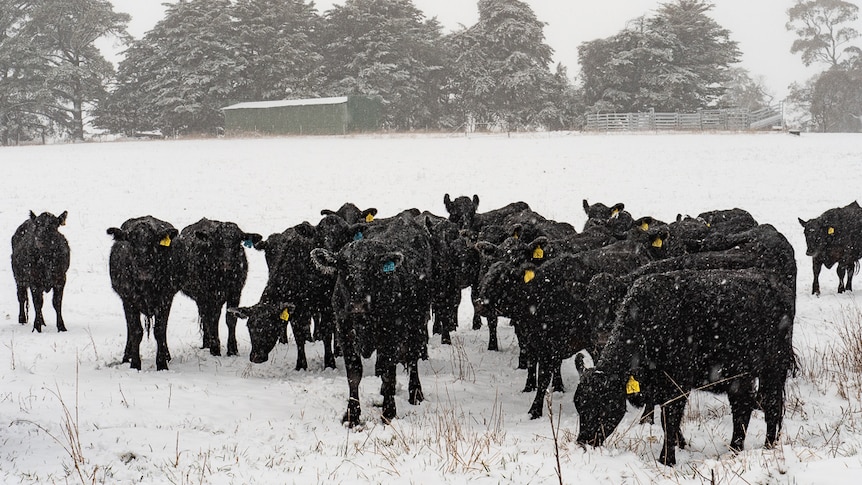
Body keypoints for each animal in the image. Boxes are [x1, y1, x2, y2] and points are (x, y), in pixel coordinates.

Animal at [107, 216, 184, 370]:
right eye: (131, 242)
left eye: (153, 242)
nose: (144, 267)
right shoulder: (128, 300)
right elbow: (136, 331)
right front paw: (135, 364)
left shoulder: (166, 299)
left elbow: (160, 331)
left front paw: (162, 364)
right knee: (130, 329)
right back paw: (127, 356)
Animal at [176, 218, 264, 356]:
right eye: (218, 242)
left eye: (238, 242)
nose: (227, 262)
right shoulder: (210, 295)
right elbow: (213, 319)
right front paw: (215, 348)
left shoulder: (235, 293)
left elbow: (231, 319)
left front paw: (232, 349)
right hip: (201, 297)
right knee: (205, 317)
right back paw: (207, 343)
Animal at [310, 210, 432, 426]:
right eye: (342, 268)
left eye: (373, 268)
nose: (358, 306)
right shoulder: (345, 331)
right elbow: (354, 373)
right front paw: (352, 415)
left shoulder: (391, 334)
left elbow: (388, 371)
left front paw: (389, 412)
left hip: (418, 323)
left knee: (412, 359)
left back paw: (415, 393)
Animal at [576, 268, 800, 466]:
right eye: (579, 405)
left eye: (603, 406)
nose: (582, 443)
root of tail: (776, 284)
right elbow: (667, 421)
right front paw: (681, 444)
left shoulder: (678, 384)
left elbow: (670, 419)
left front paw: (666, 460)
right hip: (741, 375)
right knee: (742, 408)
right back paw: (735, 449)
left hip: (774, 368)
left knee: (771, 406)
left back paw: (769, 448)